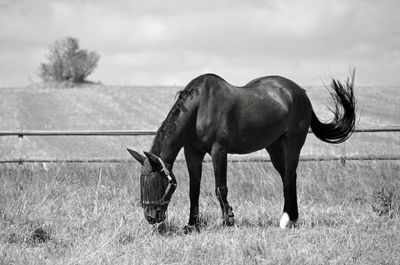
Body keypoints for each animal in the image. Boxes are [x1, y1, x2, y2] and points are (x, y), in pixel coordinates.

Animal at [126, 70, 354, 229]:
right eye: (141, 182)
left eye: (155, 182)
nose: (151, 217)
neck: (200, 107)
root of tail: (300, 92)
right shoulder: (193, 153)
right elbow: (194, 190)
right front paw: (192, 225)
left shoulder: (219, 151)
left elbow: (220, 188)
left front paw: (228, 220)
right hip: (274, 147)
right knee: (288, 177)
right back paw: (293, 218)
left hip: (293, 143)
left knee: (289, 178)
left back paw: (285, 221)